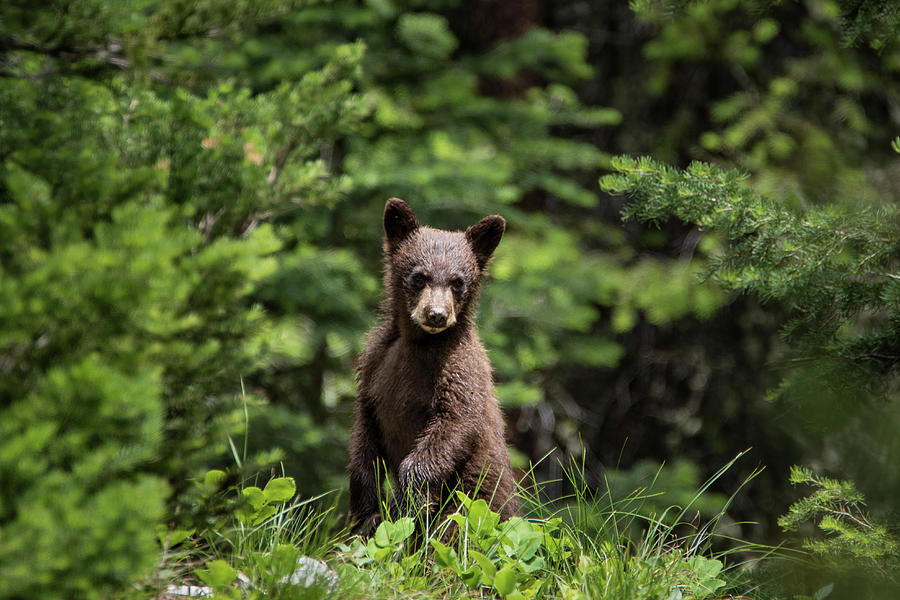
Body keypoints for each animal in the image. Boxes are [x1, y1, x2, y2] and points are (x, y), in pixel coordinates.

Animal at [348, 198, 519, 533]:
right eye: (420, 275)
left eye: (457, 281)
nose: (437, 314)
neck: (421, 343)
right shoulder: (375, 364)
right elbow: (365, 433)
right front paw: (368, 512)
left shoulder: (461, 368)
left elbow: (454, 422)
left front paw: (408, 501)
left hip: (476, 504)